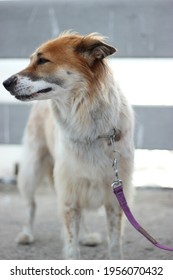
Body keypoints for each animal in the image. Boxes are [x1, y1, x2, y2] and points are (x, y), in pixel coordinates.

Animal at [3, 31, 135, 260]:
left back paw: (87, 236)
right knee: (30, 205)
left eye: (42, 60)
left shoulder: (114, 194)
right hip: (32, 169)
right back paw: (26, 234)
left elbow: (114, 244)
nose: (5, 82)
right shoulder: (69, 191)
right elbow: (72, 248)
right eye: (32, 59)